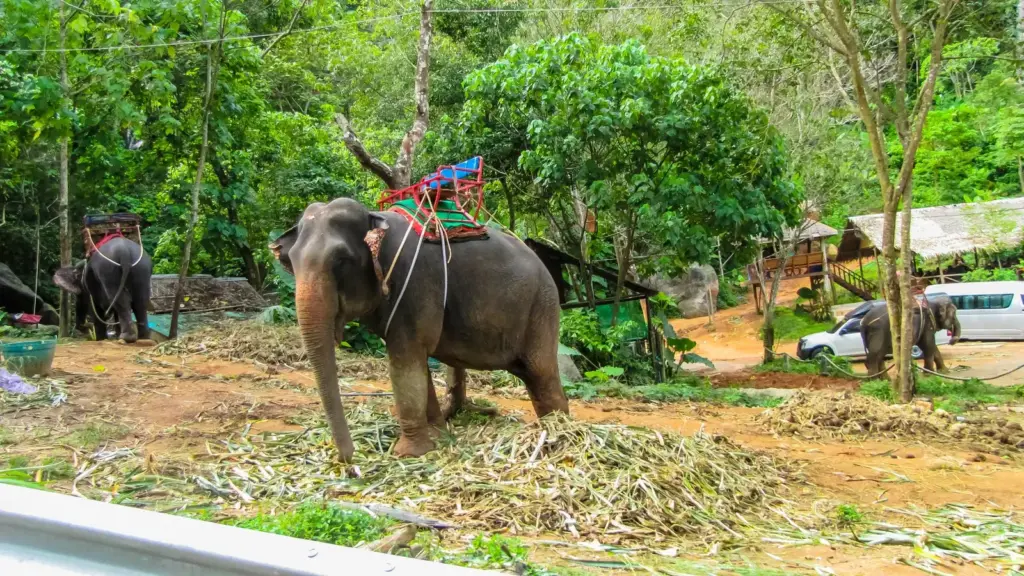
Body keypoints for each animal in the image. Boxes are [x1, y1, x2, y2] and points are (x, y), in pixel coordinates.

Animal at [270, 197, 569, 462]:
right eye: (291, 261)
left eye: (341, 260)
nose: (349, 462)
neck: (375, 217)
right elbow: (419, 367)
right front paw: (438, 436)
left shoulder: (415, 285)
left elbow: (404, 366)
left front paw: (408, 453)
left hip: (542, 306)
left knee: (541, 373)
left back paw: (559, 434)